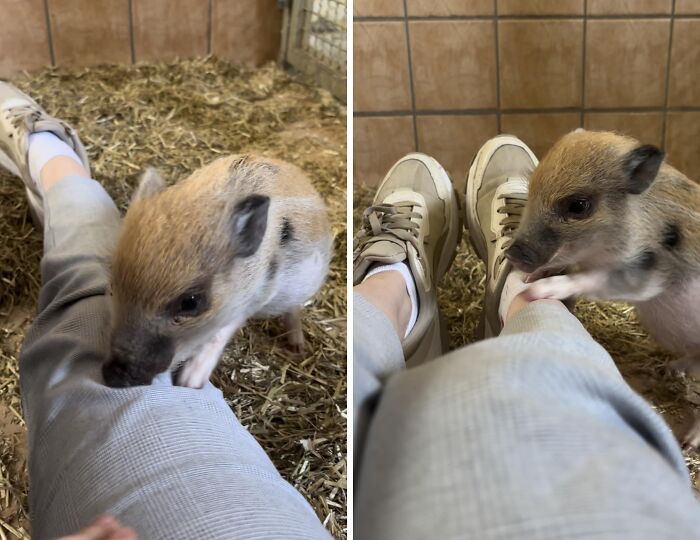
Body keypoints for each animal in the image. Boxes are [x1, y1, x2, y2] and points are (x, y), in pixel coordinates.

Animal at [103, 154, 332, 389]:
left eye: (190, 303)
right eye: (111, 285)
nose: (111, 376)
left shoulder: (255, 298)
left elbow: (220, 333)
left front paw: (189, 383)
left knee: (294, 308)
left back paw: (297, 347)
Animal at [505, 129, 700, 450]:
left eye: (578, 206)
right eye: (531, 188)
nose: (513, 253)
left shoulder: (647, 275)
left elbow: (591, 279)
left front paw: (538, 291)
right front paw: (531, 278)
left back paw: (687, 444)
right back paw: (670, 369)